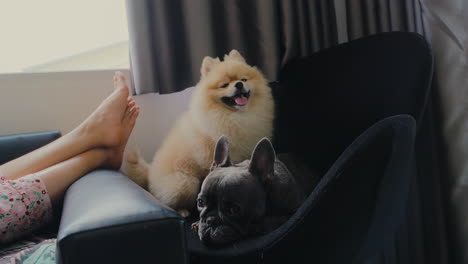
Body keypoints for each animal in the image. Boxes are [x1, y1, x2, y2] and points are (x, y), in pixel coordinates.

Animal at [126, 49, 276, 217]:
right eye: (224, 85)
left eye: (243, 79)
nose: (238, 84)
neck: (235, 116)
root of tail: (150, 174)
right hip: (185, 182)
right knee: (167, 200)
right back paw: (182, 211)